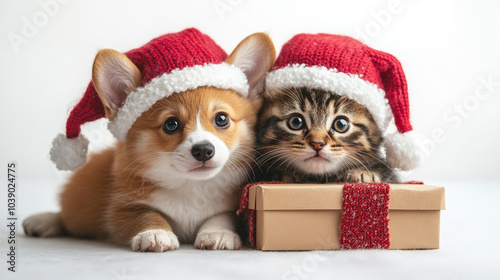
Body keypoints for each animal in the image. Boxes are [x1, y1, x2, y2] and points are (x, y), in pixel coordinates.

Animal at [23, 32, 278, 252]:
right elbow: (146, 215)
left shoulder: (231, 208)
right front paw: (155, 233)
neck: (189, 185)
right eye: (171, 124)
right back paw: (42, 221)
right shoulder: (121, 207)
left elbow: (222, 216)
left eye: (222, 119)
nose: (204, 150)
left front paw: (218, 233)